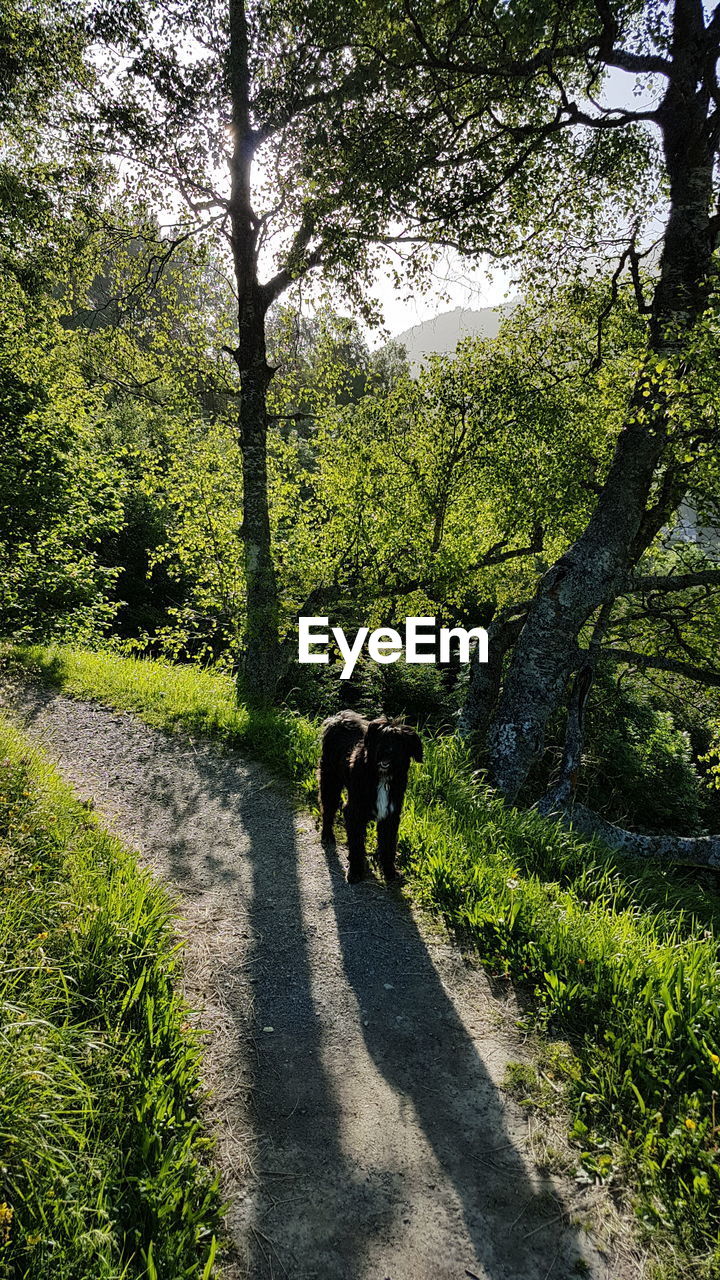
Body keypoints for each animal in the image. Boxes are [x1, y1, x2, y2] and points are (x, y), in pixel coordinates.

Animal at [317, 711, 420, 880]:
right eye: (383, 737)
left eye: (399, 741)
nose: (387, 750)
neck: (381, 777)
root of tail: (339, 721)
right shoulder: (355, 812)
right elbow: (357, 844)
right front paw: (355, 872)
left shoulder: (390, 815)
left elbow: (388, 846)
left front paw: (389, 871)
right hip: (330, 782)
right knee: (328, 809)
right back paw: (327, 835)